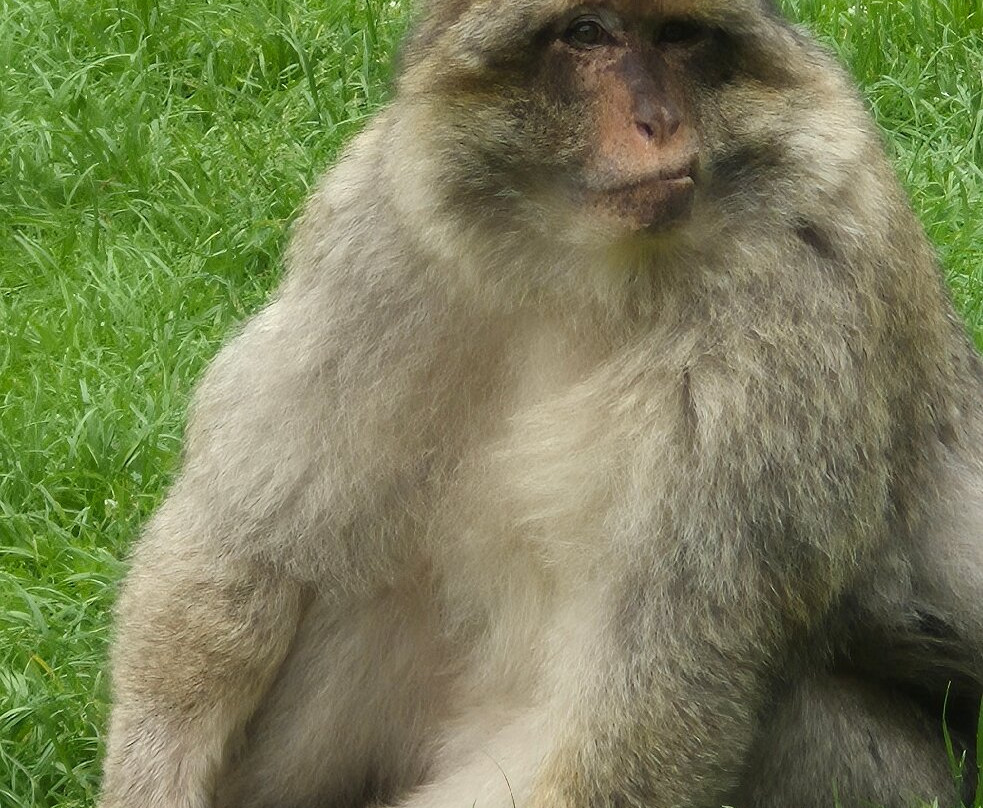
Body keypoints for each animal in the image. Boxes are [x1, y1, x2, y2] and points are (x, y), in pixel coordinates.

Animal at [98, 0, 983, 806]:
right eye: (586, 34)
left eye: (678, 35)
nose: (657, 121)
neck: (584, 274)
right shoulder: (376, 238)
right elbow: (248, 533)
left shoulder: (790, 321)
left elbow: (656, 681)